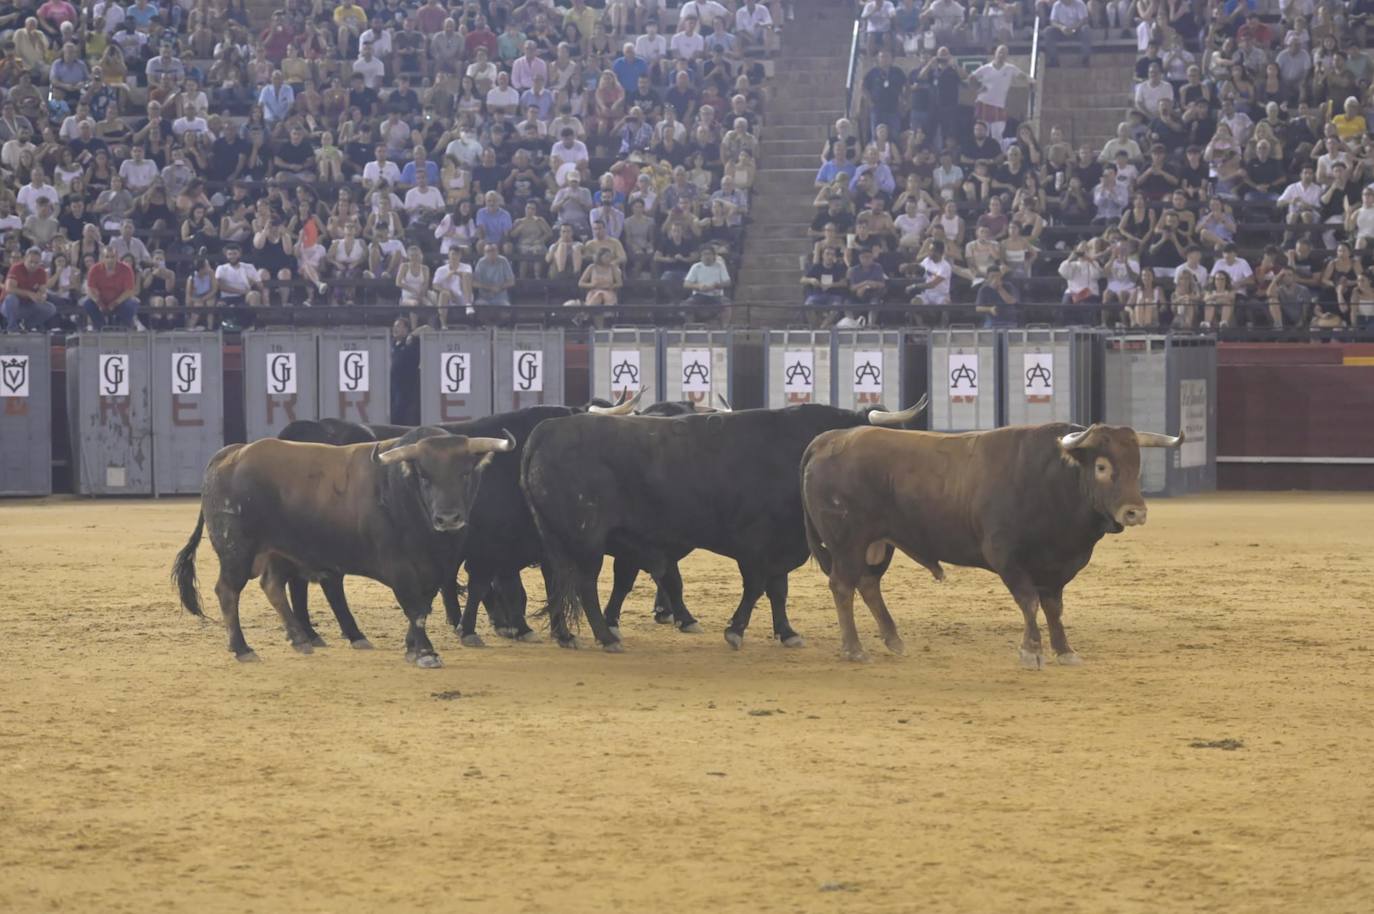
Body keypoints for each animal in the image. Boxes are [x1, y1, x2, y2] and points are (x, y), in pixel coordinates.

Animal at [519, 398, 928, 648]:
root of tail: (547, 430)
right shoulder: (756, 544)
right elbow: (757, 586)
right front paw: (735, 630)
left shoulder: (781, 545)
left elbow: (778, 590)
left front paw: (786, 632)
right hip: (585, 539)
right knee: (585, 586)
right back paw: (606, 637)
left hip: (558, 541)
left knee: (560, 582)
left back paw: (566, 636)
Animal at [802, 420, 1187, 662]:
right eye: (1102, 467)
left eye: (1137, 464)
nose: (1135, 512)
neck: (1053, 481)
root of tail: (830, 438)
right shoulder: (1006, 556)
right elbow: (1029, 601)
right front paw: (1031, 650)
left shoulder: (1058, 566)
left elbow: (1054, 607)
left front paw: (1064, 650)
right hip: (848, 543)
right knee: (842, 586)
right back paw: (854, 649)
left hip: (877, 545)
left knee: (867, 585)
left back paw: (893, 640)